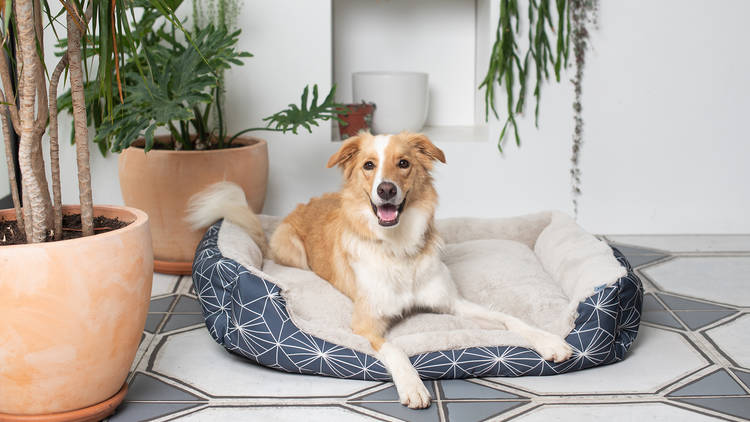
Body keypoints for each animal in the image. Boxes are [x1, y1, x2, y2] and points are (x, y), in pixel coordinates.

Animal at [187, 132, 568, 408]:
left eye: (403, 163)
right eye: (369, 165)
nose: (386, 189)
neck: (398, 250)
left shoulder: (453, 303)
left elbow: (510, 319)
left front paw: (551, 341)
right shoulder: (365, 324)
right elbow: (396, 349)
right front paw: (413, 386)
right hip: (291, 251)